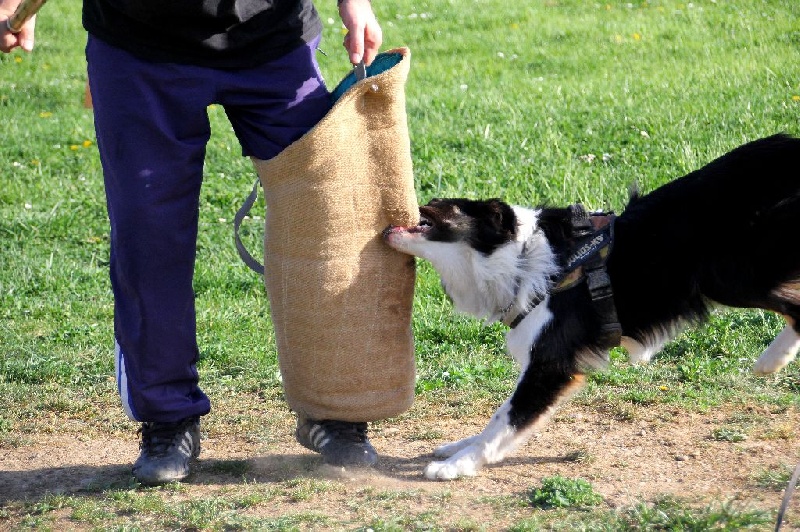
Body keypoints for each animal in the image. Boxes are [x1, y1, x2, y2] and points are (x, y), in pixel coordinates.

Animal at [382, 134, 800, 482]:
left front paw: (459, 464)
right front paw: (458, 447)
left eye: (439, 205)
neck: (523, 262)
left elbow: (505, 417)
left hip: (733, 273)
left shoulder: (552, 360)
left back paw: (772, 359)